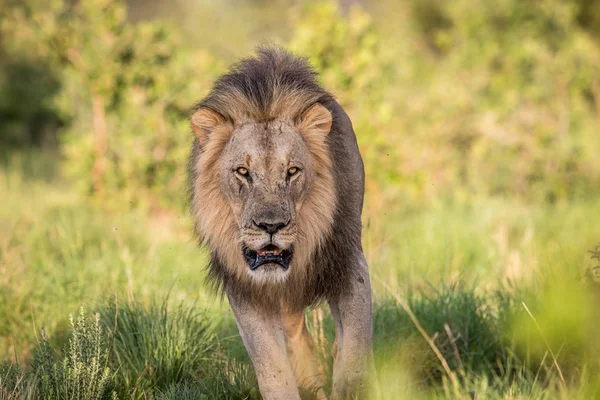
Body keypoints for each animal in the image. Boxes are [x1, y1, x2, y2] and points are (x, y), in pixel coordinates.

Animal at [189, 48, 376, 398]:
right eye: (242, 172)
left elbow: (355, 351)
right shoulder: (244, 288)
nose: (271, 226)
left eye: (292, 171)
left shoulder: (348, 263)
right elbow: (272, 367)